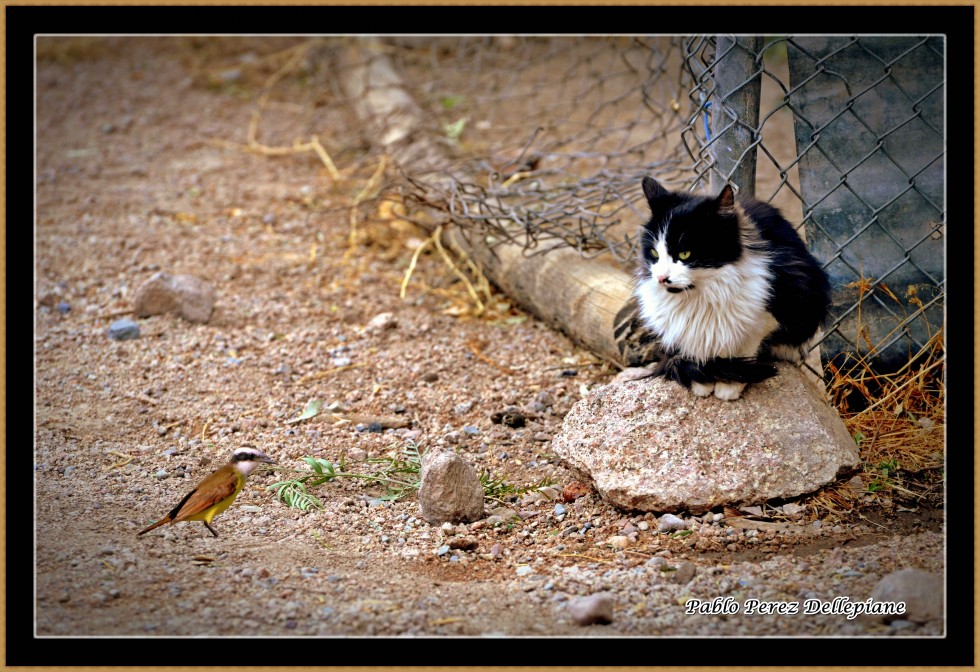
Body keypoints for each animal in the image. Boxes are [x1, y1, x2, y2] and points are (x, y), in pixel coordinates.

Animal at [636, 176, 828, 402]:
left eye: (685, 254)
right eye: (654, 254)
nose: (661, 278)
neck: (703, 294)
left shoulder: (763, 318)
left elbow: (741, 351)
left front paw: (729, 386)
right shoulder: (688, 329)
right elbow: (697, 351)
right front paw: (703, 381)